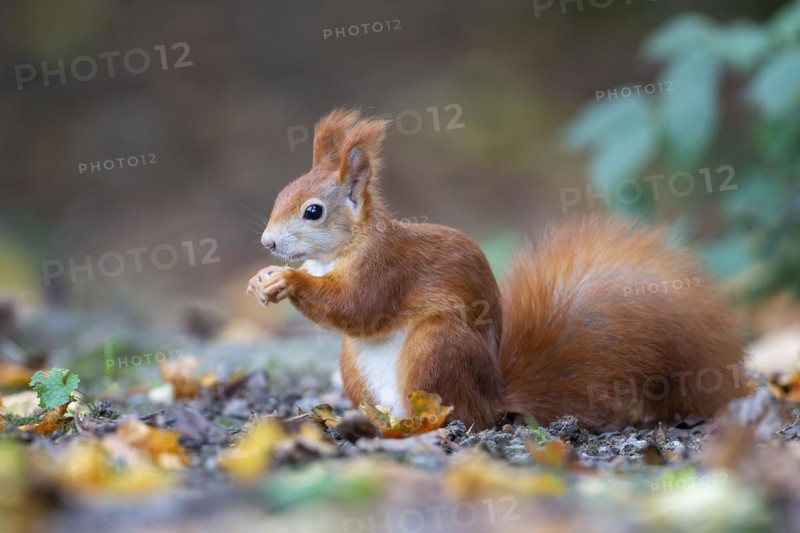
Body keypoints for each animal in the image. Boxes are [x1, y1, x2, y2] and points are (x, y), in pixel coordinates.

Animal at [247, 108, 746, 431]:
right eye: (281, 194)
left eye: (313, 212)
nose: (268, 243)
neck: (338, 252)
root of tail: (494, 398)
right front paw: (261, 279)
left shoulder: (386, 269)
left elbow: (357, 306)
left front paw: (287, 280)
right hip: (355, 365)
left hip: (436, 348)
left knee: (455, 415)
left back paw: (418, 424)